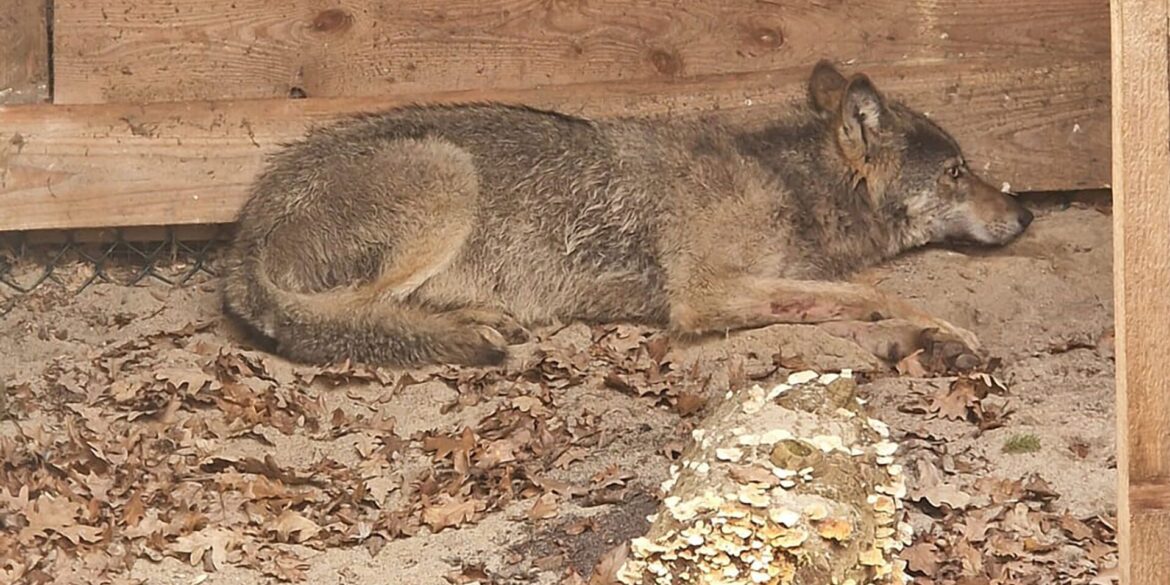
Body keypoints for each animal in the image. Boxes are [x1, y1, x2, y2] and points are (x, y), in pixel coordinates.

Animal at [220, 60, 1033, 369]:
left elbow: (843, 299)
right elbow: (875, 293)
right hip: (448, 175)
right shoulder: (704, 295)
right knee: (346, 319)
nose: (1026, 213)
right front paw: (943, 331)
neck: (786, 183)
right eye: (958, 172)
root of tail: (243, 236)